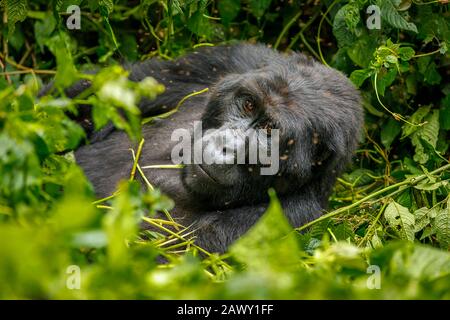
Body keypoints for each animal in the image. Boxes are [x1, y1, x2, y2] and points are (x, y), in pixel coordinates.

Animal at [46, 43, 362, 252]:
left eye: (269, 132)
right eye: (249, 104)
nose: (225, 146)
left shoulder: (290, 217)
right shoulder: (236, 61)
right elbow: (122, 84)